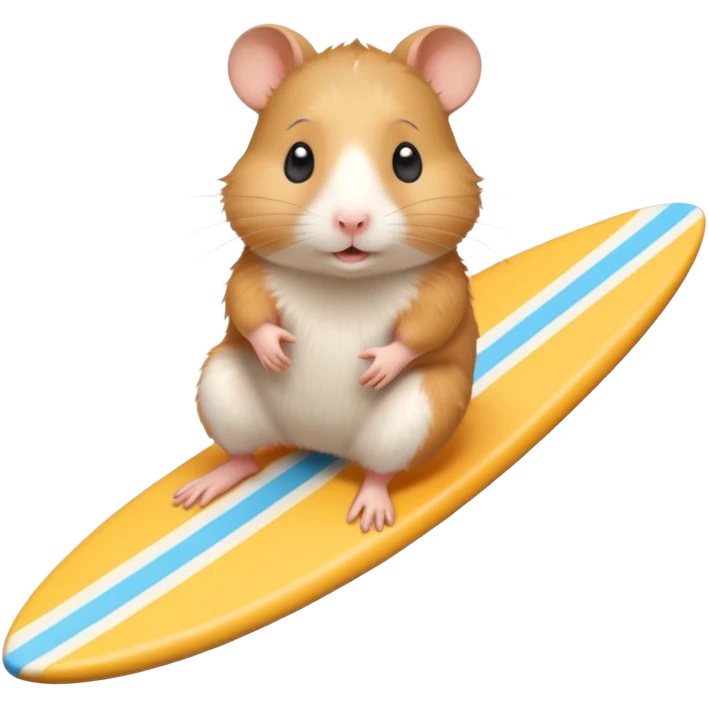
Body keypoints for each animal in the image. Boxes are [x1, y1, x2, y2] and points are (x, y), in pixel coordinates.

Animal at [174, 24, 484, 533]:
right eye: (297, 160)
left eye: (409, 161)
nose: (351, 221)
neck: (343, 283)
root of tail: (317, 444)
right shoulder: (255, 268)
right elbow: (245, 302)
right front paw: (274, 350)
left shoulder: (441, 281)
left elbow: (432, 321)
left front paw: (380, 365)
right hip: (222, 388)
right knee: (244, 456)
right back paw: (209, 484)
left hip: (419, 413)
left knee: (381, 470)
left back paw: (371, 509)